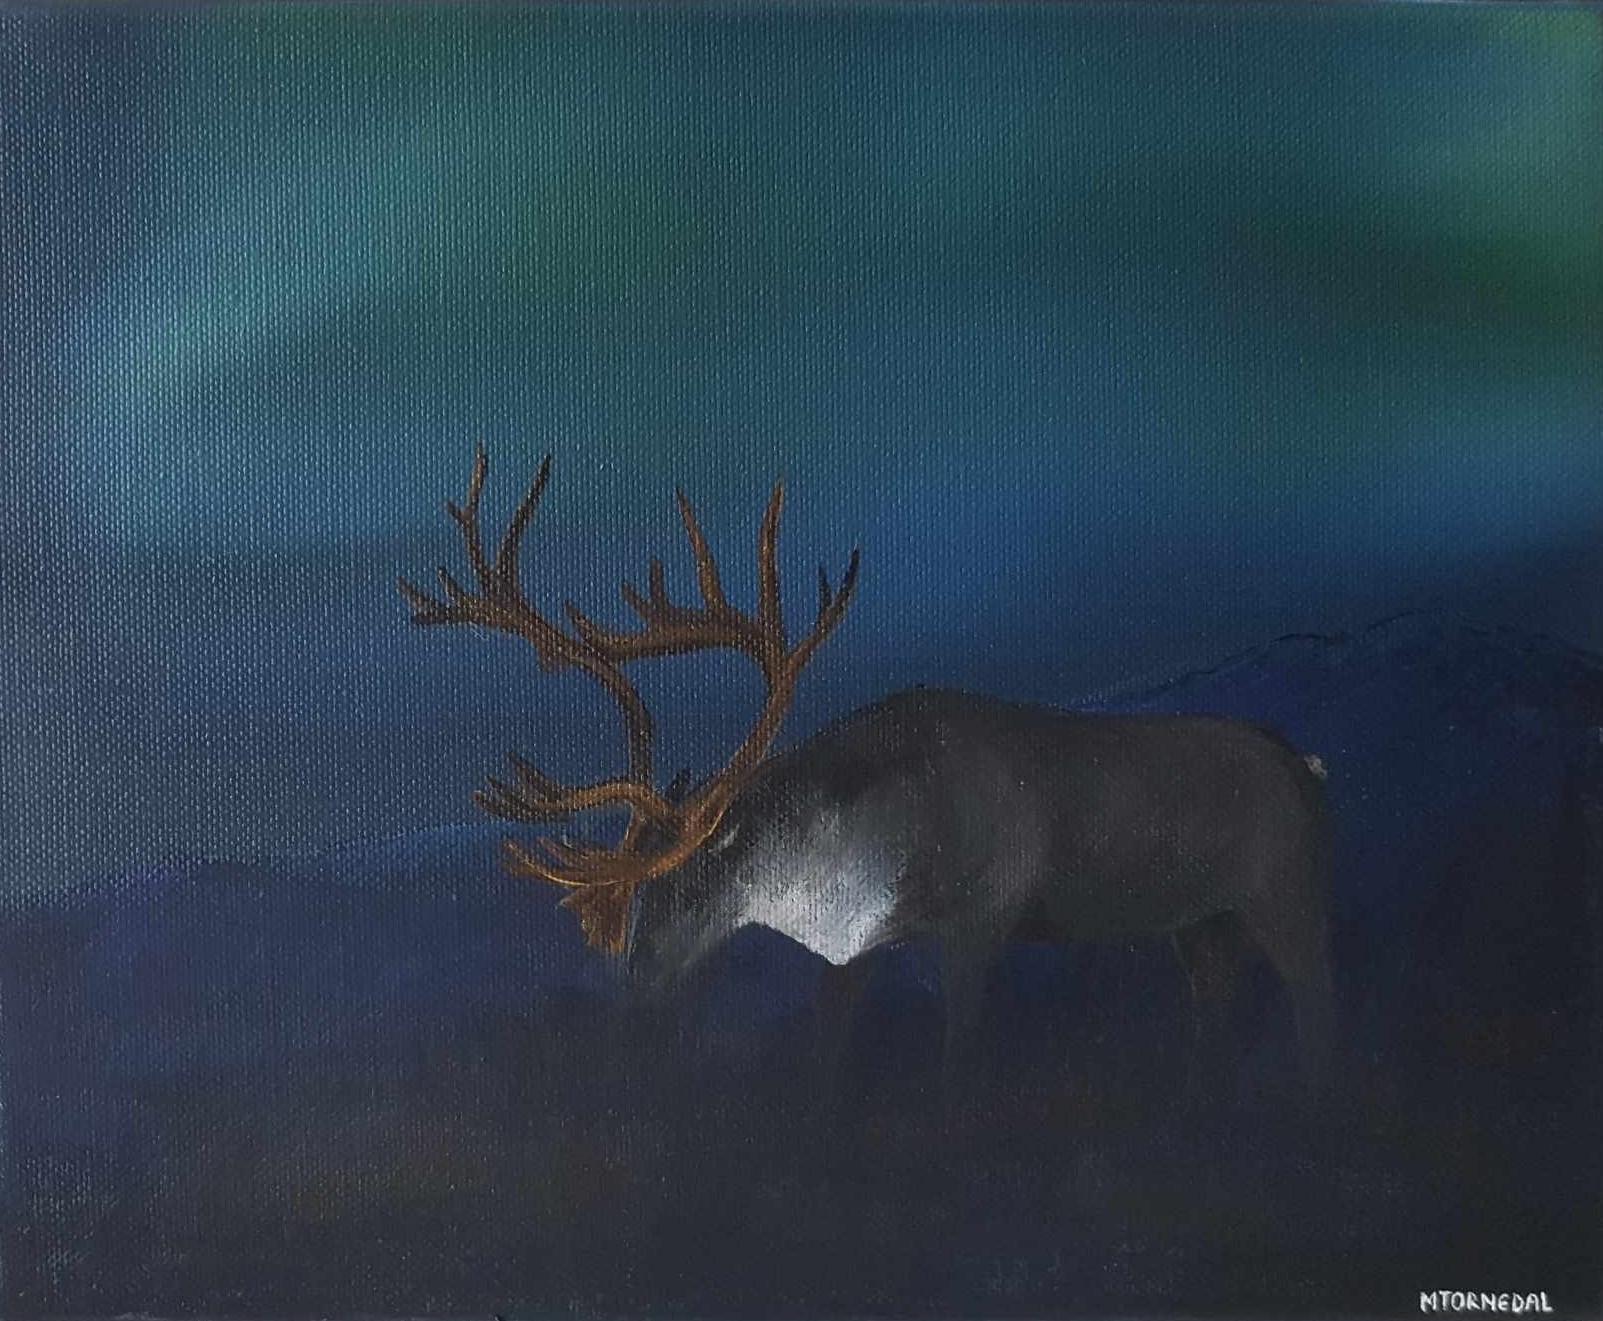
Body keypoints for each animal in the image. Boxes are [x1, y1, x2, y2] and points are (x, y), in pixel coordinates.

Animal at [399, 450, 1336, 1104]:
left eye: (697, 873)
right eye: (640, 892)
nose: (638, 981)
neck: (845, 860)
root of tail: (1304, 763)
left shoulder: (979, 922)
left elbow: (959, 1052)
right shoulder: (847, 957)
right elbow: (827, 1051)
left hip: (1285, 894)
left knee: (1316, 997)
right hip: (1202, 923)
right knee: (1215, 1004)